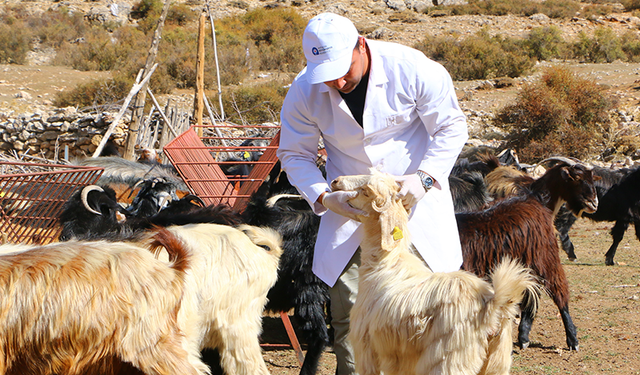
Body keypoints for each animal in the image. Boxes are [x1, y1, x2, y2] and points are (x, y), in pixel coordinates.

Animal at [332, 170, 536, 375]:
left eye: (366, 191)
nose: (335, 181)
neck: (385, 262)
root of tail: (493, 306)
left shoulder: (367, 348)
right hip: (496, 363)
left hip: (449, 363)